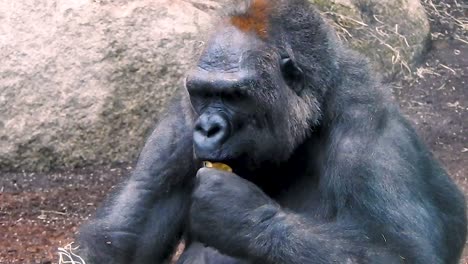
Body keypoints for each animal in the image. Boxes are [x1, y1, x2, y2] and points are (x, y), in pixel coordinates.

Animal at [76, 0, 464, 264]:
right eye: (203, 93)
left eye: (234, 95)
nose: (208, 128)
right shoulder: (180, 120)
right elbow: (117, 242)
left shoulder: (365, 123)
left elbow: (399, 252)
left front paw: (240, 215)